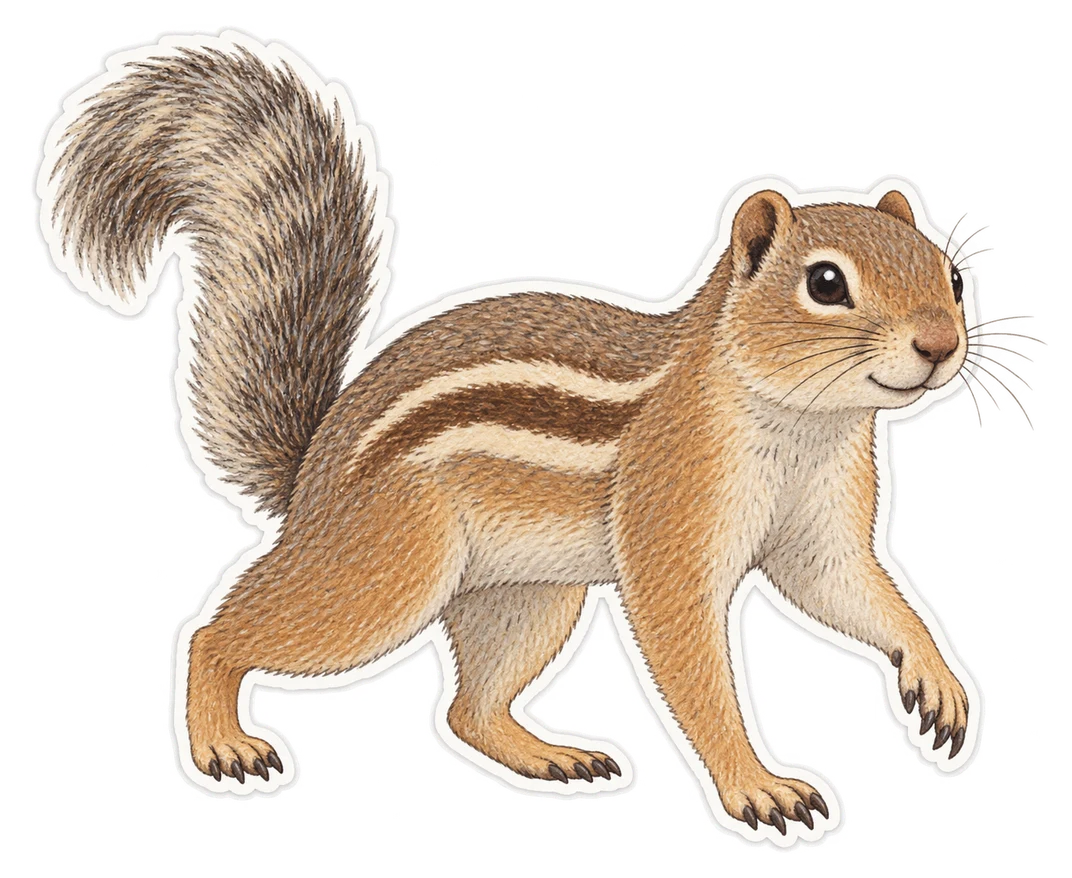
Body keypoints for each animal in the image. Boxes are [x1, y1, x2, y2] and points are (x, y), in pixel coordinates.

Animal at [43, 39, 977, 835]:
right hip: (387, 567)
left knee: (468, 709)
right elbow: (691, 660)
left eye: (950, 272)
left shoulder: (818, 526)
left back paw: (550, 757)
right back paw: (220, 741)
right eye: (826, 283)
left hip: (526, 596)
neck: (804, 425)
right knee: (221, 634)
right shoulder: (671, 512)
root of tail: (313, 476)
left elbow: (854, 591)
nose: (940, 344)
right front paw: (756, 784)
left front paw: (936, 678)